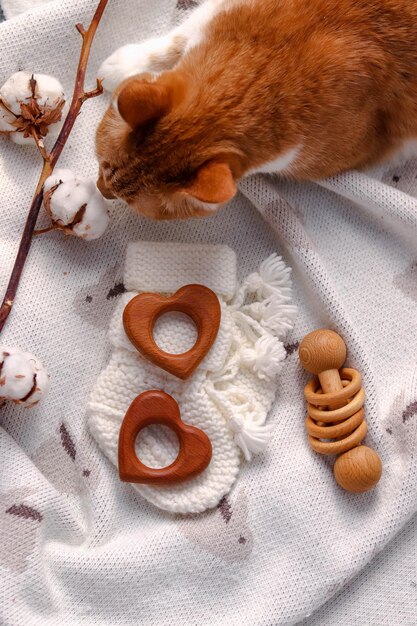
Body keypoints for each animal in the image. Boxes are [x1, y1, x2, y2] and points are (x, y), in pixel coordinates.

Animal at [96, 0, 416, 219]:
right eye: (103, 165)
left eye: (128, 201)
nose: (101, 189)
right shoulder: (222, 11)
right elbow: (179, 38)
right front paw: (123, 66)